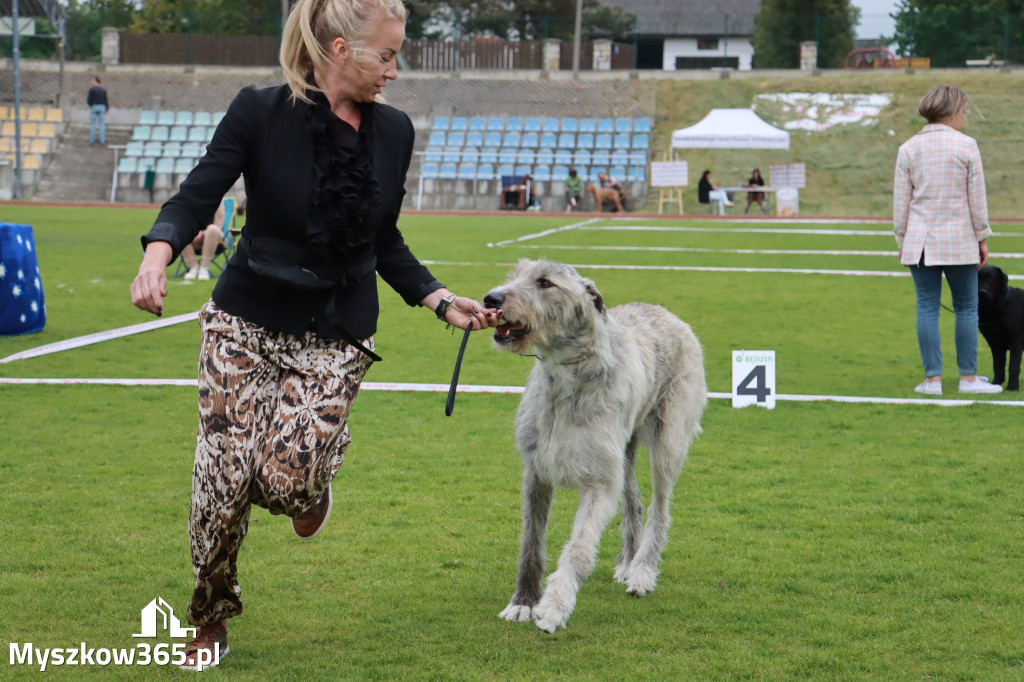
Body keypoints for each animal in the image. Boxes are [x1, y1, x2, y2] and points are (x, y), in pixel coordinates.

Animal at [483, 258, 708, 630]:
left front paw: (555, 606)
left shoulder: (600, 484)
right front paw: (523, 602)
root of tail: (663, 311)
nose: (491, 299)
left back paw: (642, 571)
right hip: (625, 447)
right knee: (633, 497)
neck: (565, 375)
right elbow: (531, 542)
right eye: (515, 274)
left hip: (668, 438)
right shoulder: (536, 472)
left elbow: (579, 546)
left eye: (545, 282)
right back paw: (628, 561)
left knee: (660, 509)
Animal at [974, 262, 1024, 391]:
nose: (982, 292)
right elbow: (997, 366)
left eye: (991, 278)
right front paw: (995, 383)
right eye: (977, 278)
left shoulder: (1016, 341)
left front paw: (1012, 387)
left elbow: (1013, 366)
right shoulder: (995, 344)